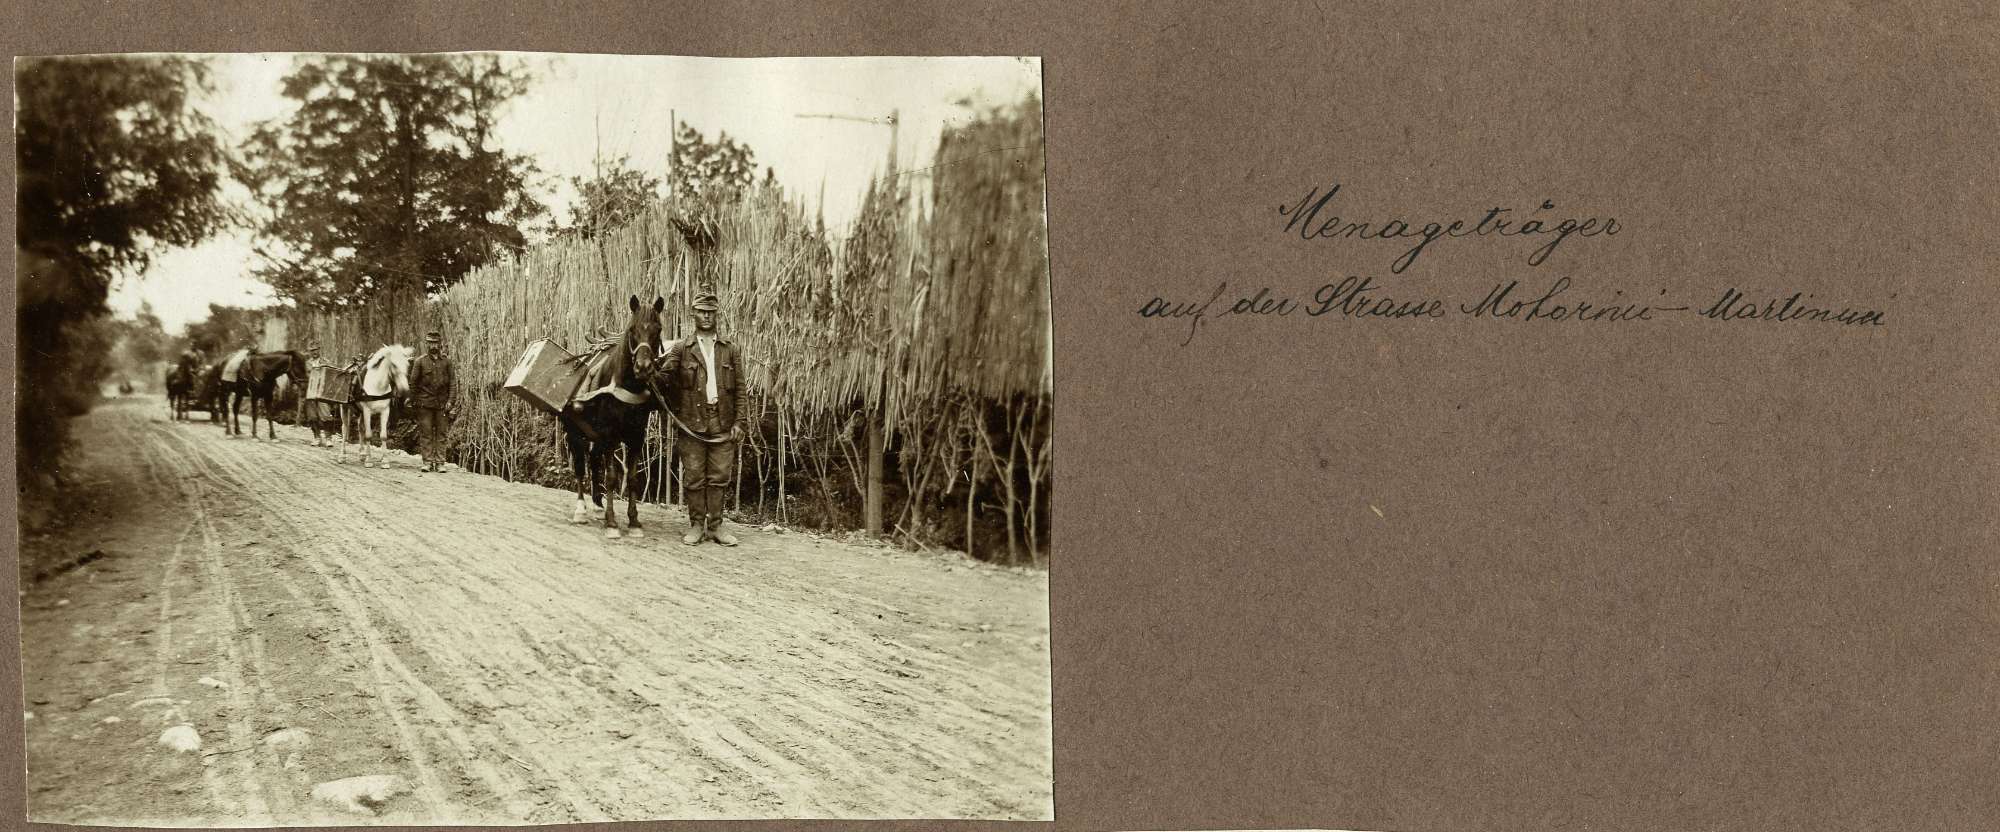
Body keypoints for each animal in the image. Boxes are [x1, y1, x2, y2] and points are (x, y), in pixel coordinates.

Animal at [559, 295, 667, 539]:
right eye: (632, 329)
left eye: (658, 329)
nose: (643, 367)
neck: (625, 385)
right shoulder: (610, 435)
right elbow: (611, 477)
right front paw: (611, 523)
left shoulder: (636, 436)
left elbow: (633, 478)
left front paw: (634, 521)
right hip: (574, 432)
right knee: (580, 466)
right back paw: (581, 510)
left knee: (593, 461)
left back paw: (598, 505)